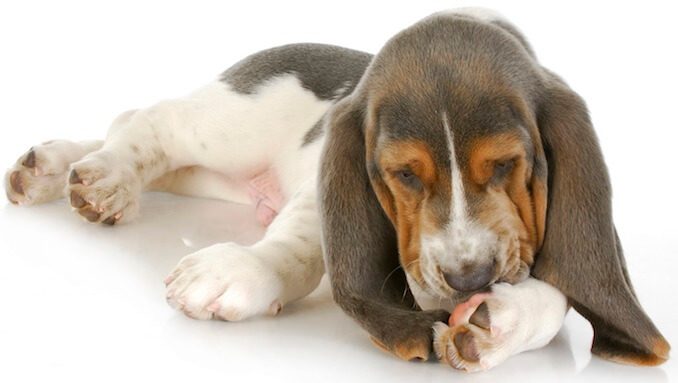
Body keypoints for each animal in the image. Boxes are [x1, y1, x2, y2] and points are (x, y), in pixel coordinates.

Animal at [5, 6, 672, 372]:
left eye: (508, 165)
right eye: (405, 175)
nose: (470, 279)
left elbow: (556, 297)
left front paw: (497, 321)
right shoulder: (322, 184)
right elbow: (302, 246)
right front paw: (242, 272)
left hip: (216, 176)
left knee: (146, 143)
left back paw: (57, 168)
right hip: (228, 126)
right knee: (144, 120)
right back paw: (97, 175)